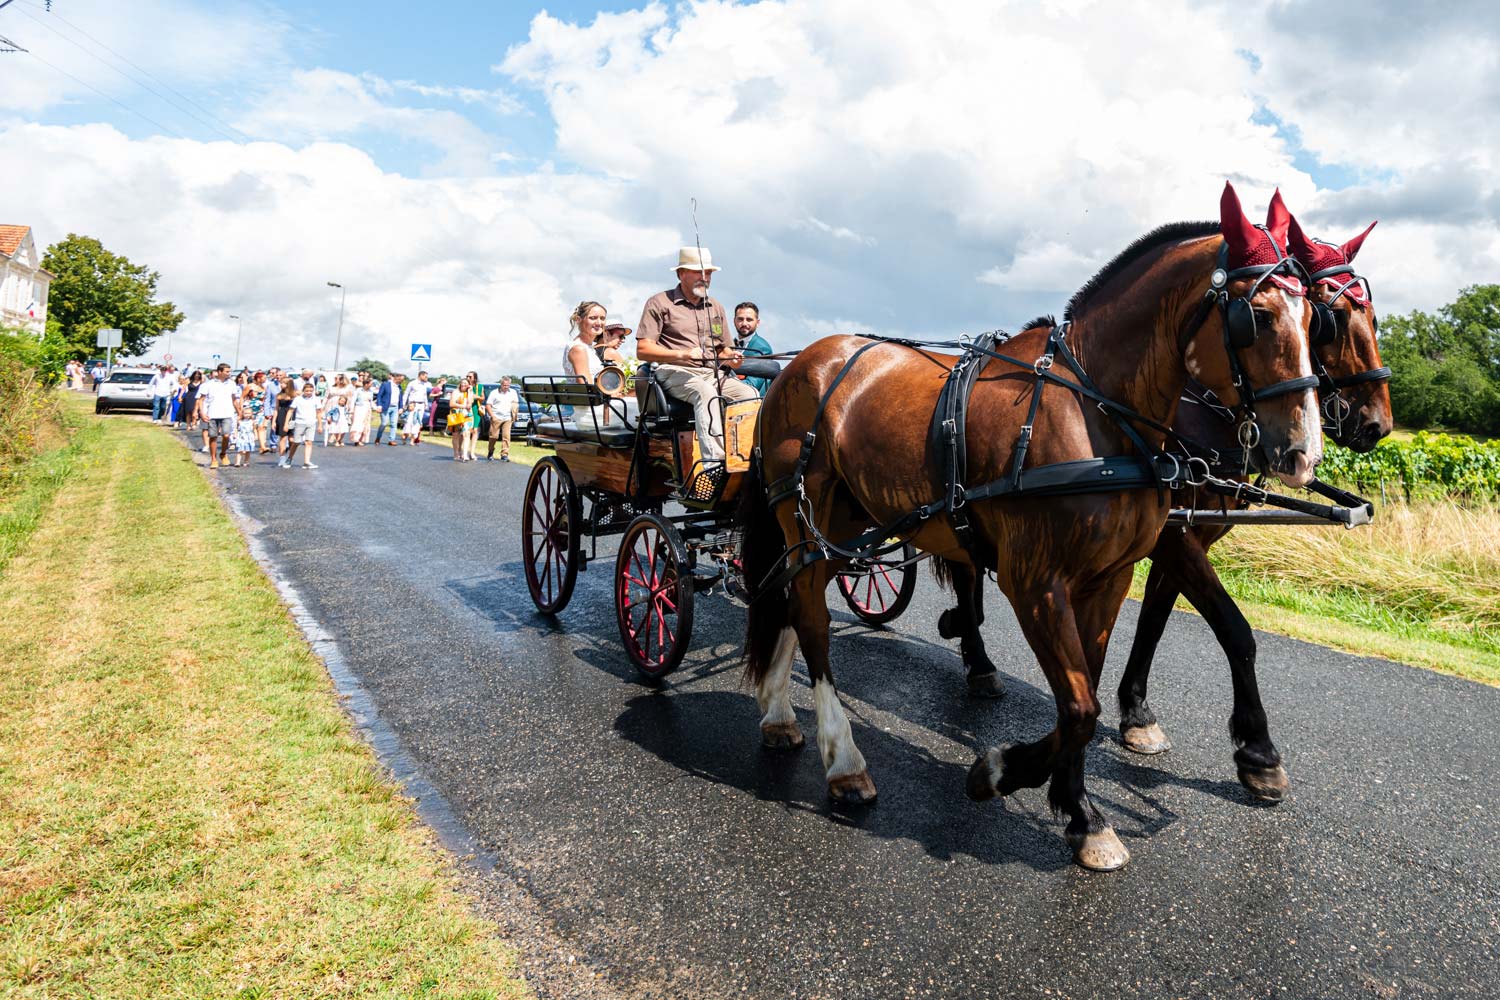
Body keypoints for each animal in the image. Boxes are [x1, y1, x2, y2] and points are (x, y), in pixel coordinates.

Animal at [744, 183, 1320, 869]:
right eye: (1255, 316)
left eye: (1314, 317)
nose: (1304, 452)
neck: (1095, 414)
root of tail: (800, 363)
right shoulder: (1036, 582)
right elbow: (1078, 707)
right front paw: (1002, 774)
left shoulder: (1109, 577)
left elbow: (1085, 695)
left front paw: (1077, 809)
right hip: (806, 510)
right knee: (810, 613)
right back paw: (844, 759)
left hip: (849, 519)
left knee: (792, 595)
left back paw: (779, 713)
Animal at [1116, 200, 1392, 797]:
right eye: (1334, 318)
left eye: (1374, 317)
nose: (1378, 425)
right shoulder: (1170, 532)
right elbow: (1234, 628)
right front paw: (1259, 750)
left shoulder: (1194, 532)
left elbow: (1156, 615)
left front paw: (1136, 711)